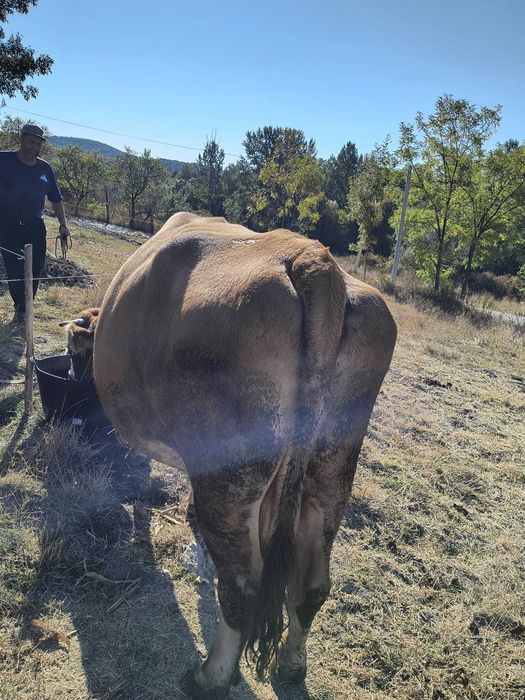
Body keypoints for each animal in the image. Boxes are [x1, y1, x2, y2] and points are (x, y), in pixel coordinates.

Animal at [75, 213, 396, 698]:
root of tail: (311, 258)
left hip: (229, 474)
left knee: (242, 587)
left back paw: (209, 677)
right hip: (332, 470)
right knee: (311, 585)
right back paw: (291, 666)